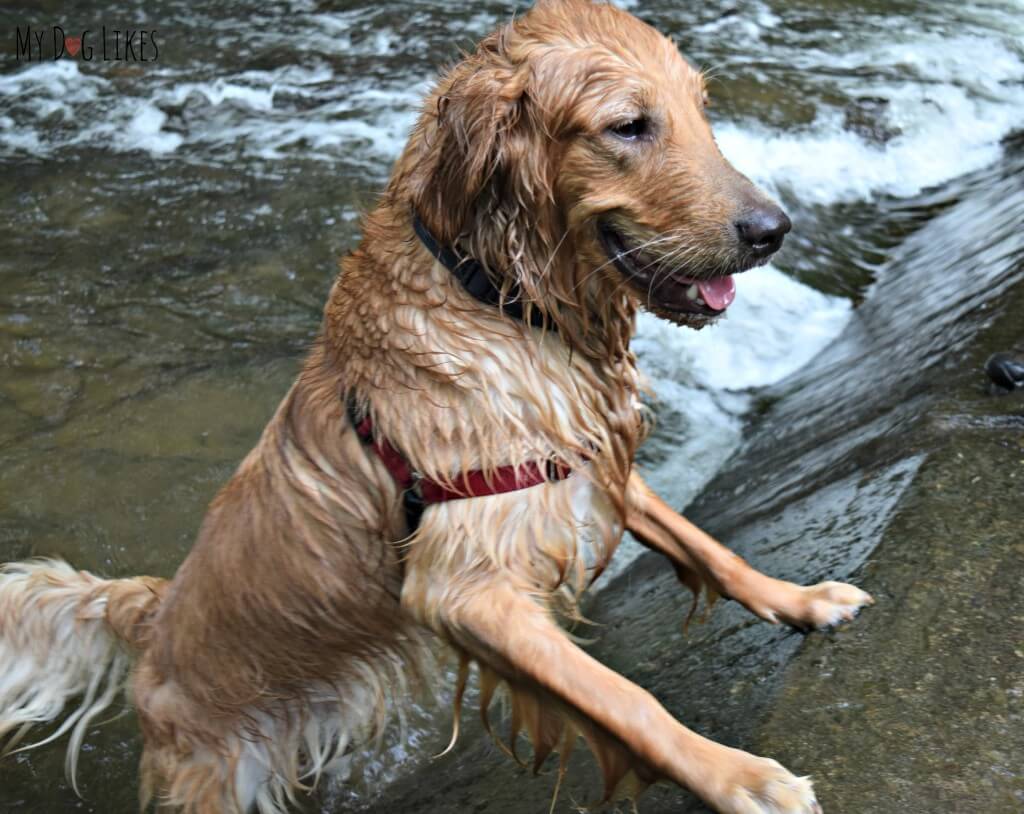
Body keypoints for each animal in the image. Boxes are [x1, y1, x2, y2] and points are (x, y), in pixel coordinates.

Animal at [0, 3, 872, 810]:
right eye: (628, 126)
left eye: (701, 110)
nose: (774, 229)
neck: (496, 299)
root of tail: (152, 617)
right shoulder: (463, 590)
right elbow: (623, 700)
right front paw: (738, 777)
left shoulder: (577, 460)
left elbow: (704, 544)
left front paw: (798, 601)